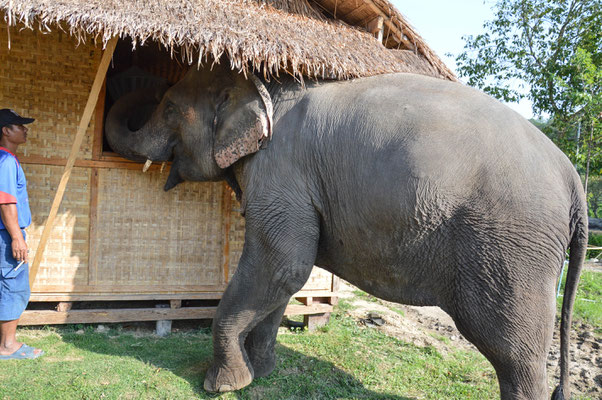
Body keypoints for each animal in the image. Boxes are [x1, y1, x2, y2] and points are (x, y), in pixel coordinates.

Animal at [104, 62, 584, 400]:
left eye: (169, 107)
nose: (132, 71)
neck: (266, 87)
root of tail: (573, 178)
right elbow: (283, 281)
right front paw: (261, 374)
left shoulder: (282, 172)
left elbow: (283, 265)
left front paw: (222, 385)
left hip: (511, 248)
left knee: (514, 353)